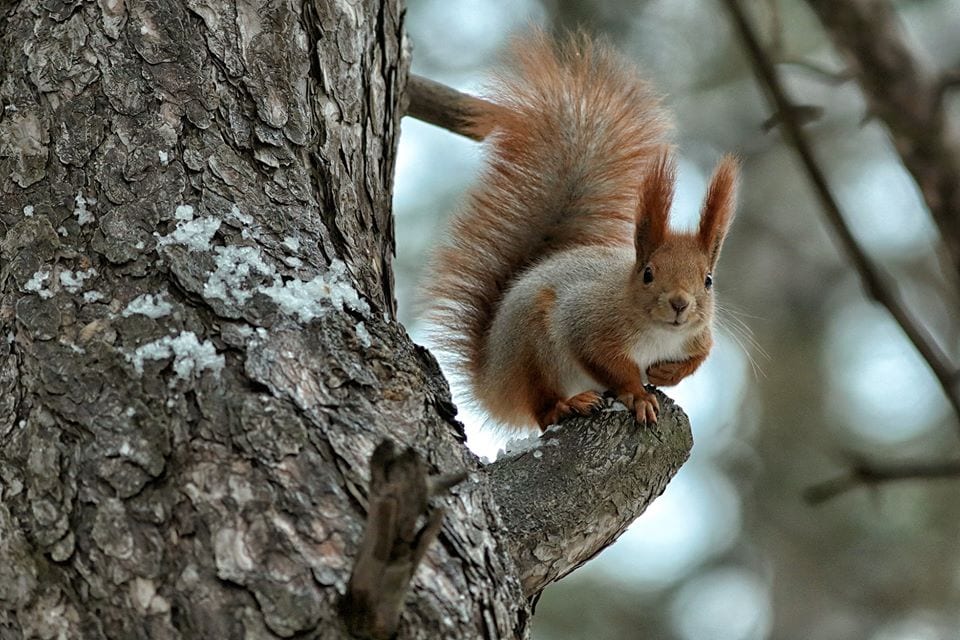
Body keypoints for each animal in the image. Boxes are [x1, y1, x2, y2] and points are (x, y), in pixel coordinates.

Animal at [424, 28, 740, 430]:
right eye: (648, 273)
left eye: (708, 280)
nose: (680, 303)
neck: (658, 334)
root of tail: (494, 381)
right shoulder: (587, 322)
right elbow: (607, 363)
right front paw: (638, 395)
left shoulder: (698, 336)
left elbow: (699, 357)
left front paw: (668, 375)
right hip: (532, 347)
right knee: (542, 408)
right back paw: (568, 405)